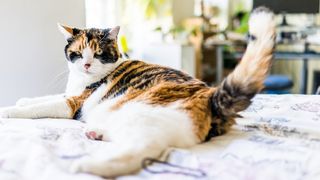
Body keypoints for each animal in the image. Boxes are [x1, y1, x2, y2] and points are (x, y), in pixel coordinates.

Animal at [0, 7, 276, 177]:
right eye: (78, 54)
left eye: (98, 54)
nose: (87, 65)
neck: (81, 80)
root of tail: (211, 96)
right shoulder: (70, 94)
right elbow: (44, 98)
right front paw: (22, 99)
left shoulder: (73, 103)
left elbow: (41, 107)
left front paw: (8, 110)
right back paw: (96, 133)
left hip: (142, 114)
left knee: (142, 150)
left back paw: (86, 165)